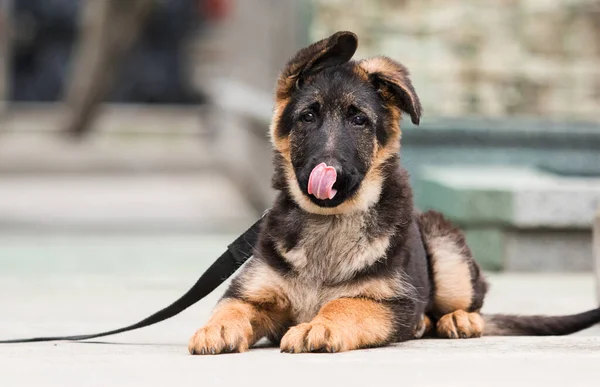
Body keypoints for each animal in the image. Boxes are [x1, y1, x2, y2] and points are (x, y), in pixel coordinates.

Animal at [190, 32, 600, 354]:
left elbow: (346, 304)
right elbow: (231, 306)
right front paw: (218, 326)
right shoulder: (252, 293)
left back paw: (458, 320)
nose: (328, 169)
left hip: (443, 244)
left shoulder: (393, 302)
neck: (330, 221)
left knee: (469, 305)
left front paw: (319, 325)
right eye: (308, 116)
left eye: (359, 120)